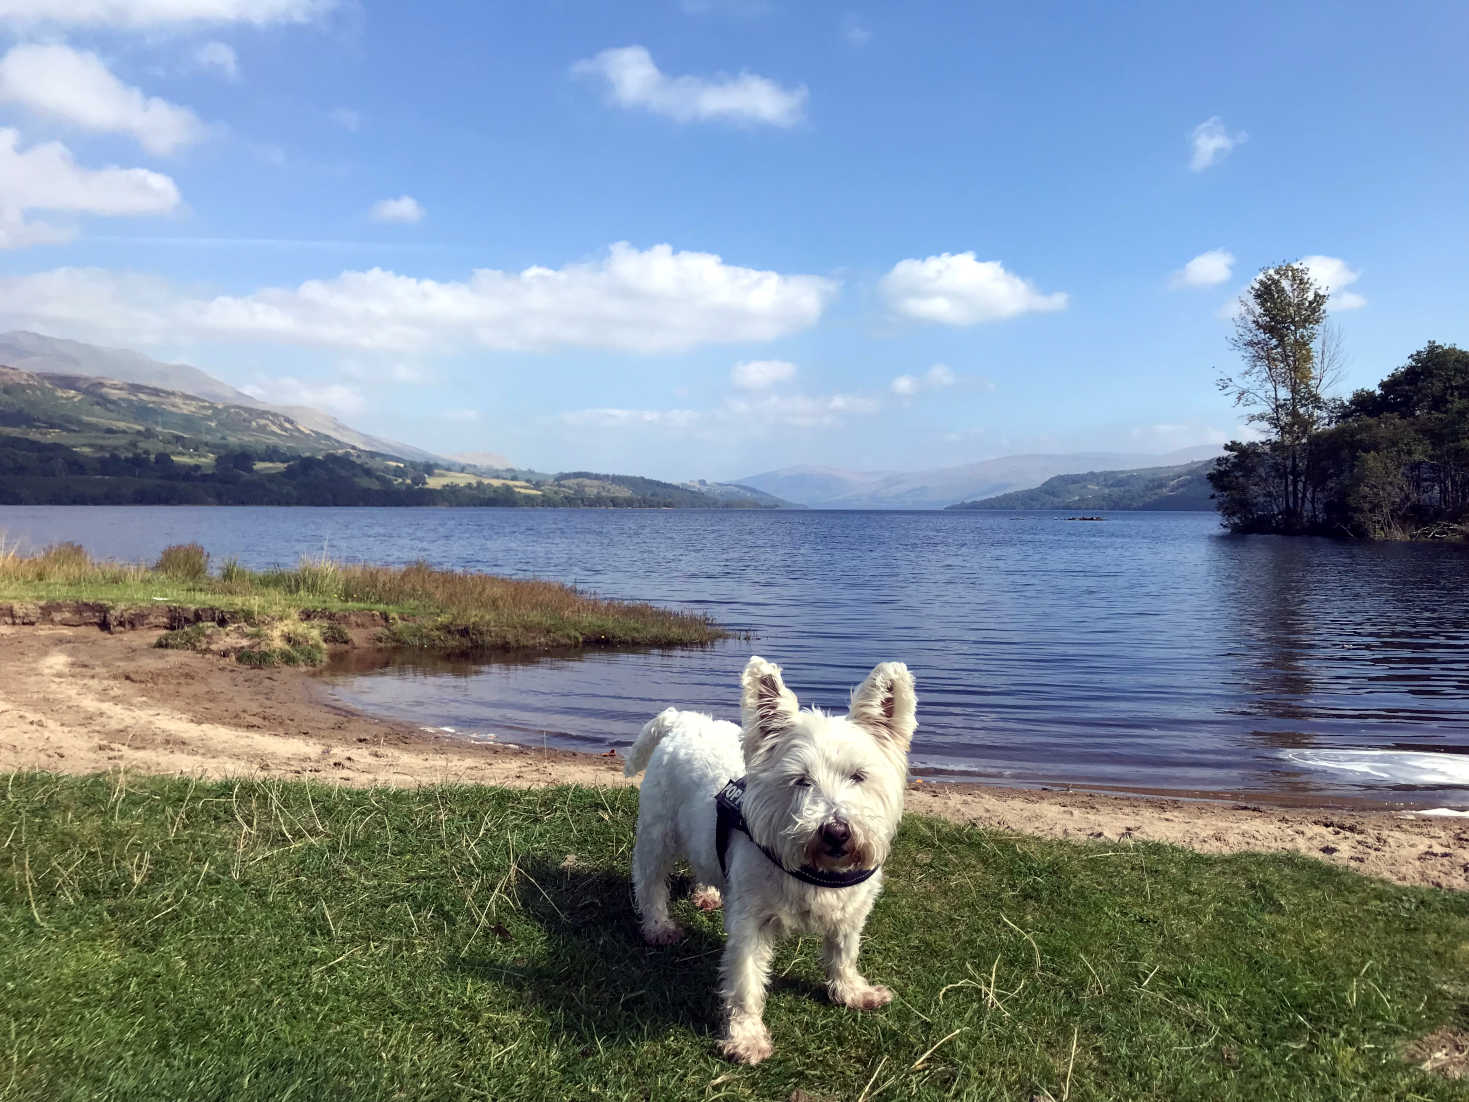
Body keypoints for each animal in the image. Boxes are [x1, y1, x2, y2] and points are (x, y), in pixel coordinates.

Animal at [622, 661, 916, 1063]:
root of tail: (683, 719)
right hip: (658, 833)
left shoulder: (851, 912)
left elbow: (844, 953)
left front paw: (853, 992)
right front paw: (746, 1037)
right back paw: (658, 927)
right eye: (801, 780)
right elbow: (746, 980)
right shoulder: (751, 922)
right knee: (650, 882)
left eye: (858, 776)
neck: (814, 869)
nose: (836, 832)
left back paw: (708, 892)